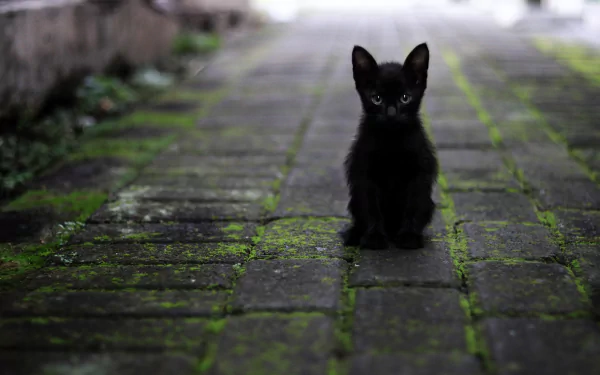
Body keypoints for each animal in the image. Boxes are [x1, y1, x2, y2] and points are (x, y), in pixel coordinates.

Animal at [344, 44, 438, 250]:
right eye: (377, 99)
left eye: (405, 98)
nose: (391, 114)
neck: (391, 141)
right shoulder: (365, 174)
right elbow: (372, 208)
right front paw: (375, 237)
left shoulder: (418, 173)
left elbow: (412, 207)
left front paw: (409, 236)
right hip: (355, 199)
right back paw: (354, 234)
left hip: (428, 203)